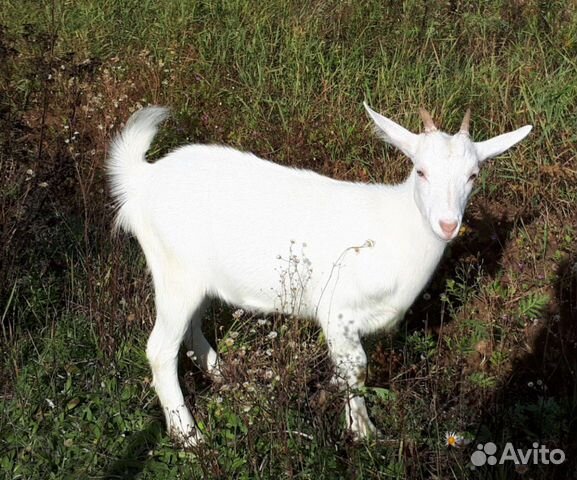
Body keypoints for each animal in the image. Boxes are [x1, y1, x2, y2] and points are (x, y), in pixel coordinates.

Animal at [108, 103, 532, 444]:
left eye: (473, 175)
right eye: (420, 171)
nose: (447, 224)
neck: (393, 229)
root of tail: (141, 180)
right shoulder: (336, 310)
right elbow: (356, 368)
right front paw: (363, 432)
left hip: (195, 277)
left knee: (192, 327)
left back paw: (226, 375)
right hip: (173, 270)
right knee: (160, 349)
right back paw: (189, 437)